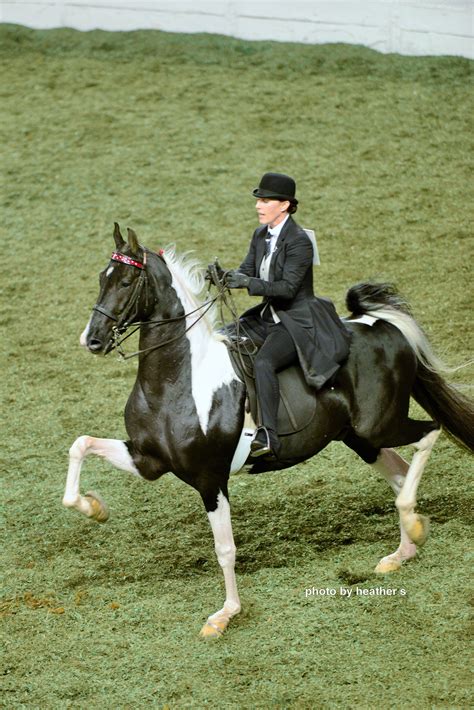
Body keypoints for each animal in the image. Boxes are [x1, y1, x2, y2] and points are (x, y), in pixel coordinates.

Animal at [64, 224, 474, 640]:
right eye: (101, 278)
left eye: (126, 281)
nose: (92, 340)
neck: (178, 379)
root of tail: (382, 326)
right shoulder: (148, 459)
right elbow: (80, 446)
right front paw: (94, 508)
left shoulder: (210, 478)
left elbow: (225, 549)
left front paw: (225, 615)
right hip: (360, 438)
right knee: (401, 473)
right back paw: (402, 551)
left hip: (380, 425)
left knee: (430, 435)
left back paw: (414, 526)